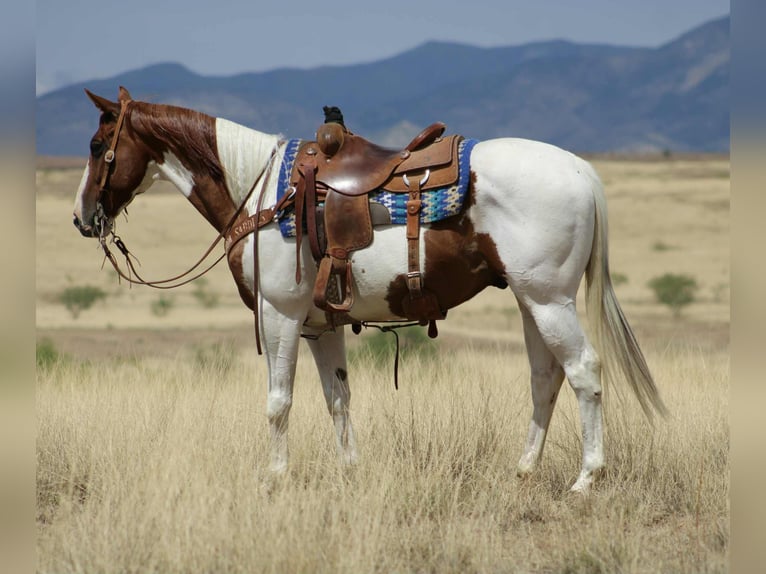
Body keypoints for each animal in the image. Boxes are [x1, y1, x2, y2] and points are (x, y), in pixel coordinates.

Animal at [72, 86, 666, 492]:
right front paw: (349, 471)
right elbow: (337, 398)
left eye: (99, 144)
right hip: (530, 301)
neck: (259, 191)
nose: (82, 217)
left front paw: (275, 478)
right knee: (546, 378)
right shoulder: (319, 326)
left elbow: (278, 402)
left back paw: (586, 479)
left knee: (584, 372)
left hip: (550, 301)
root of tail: (582, 171)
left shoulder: (280, 315)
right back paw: (524, 469)